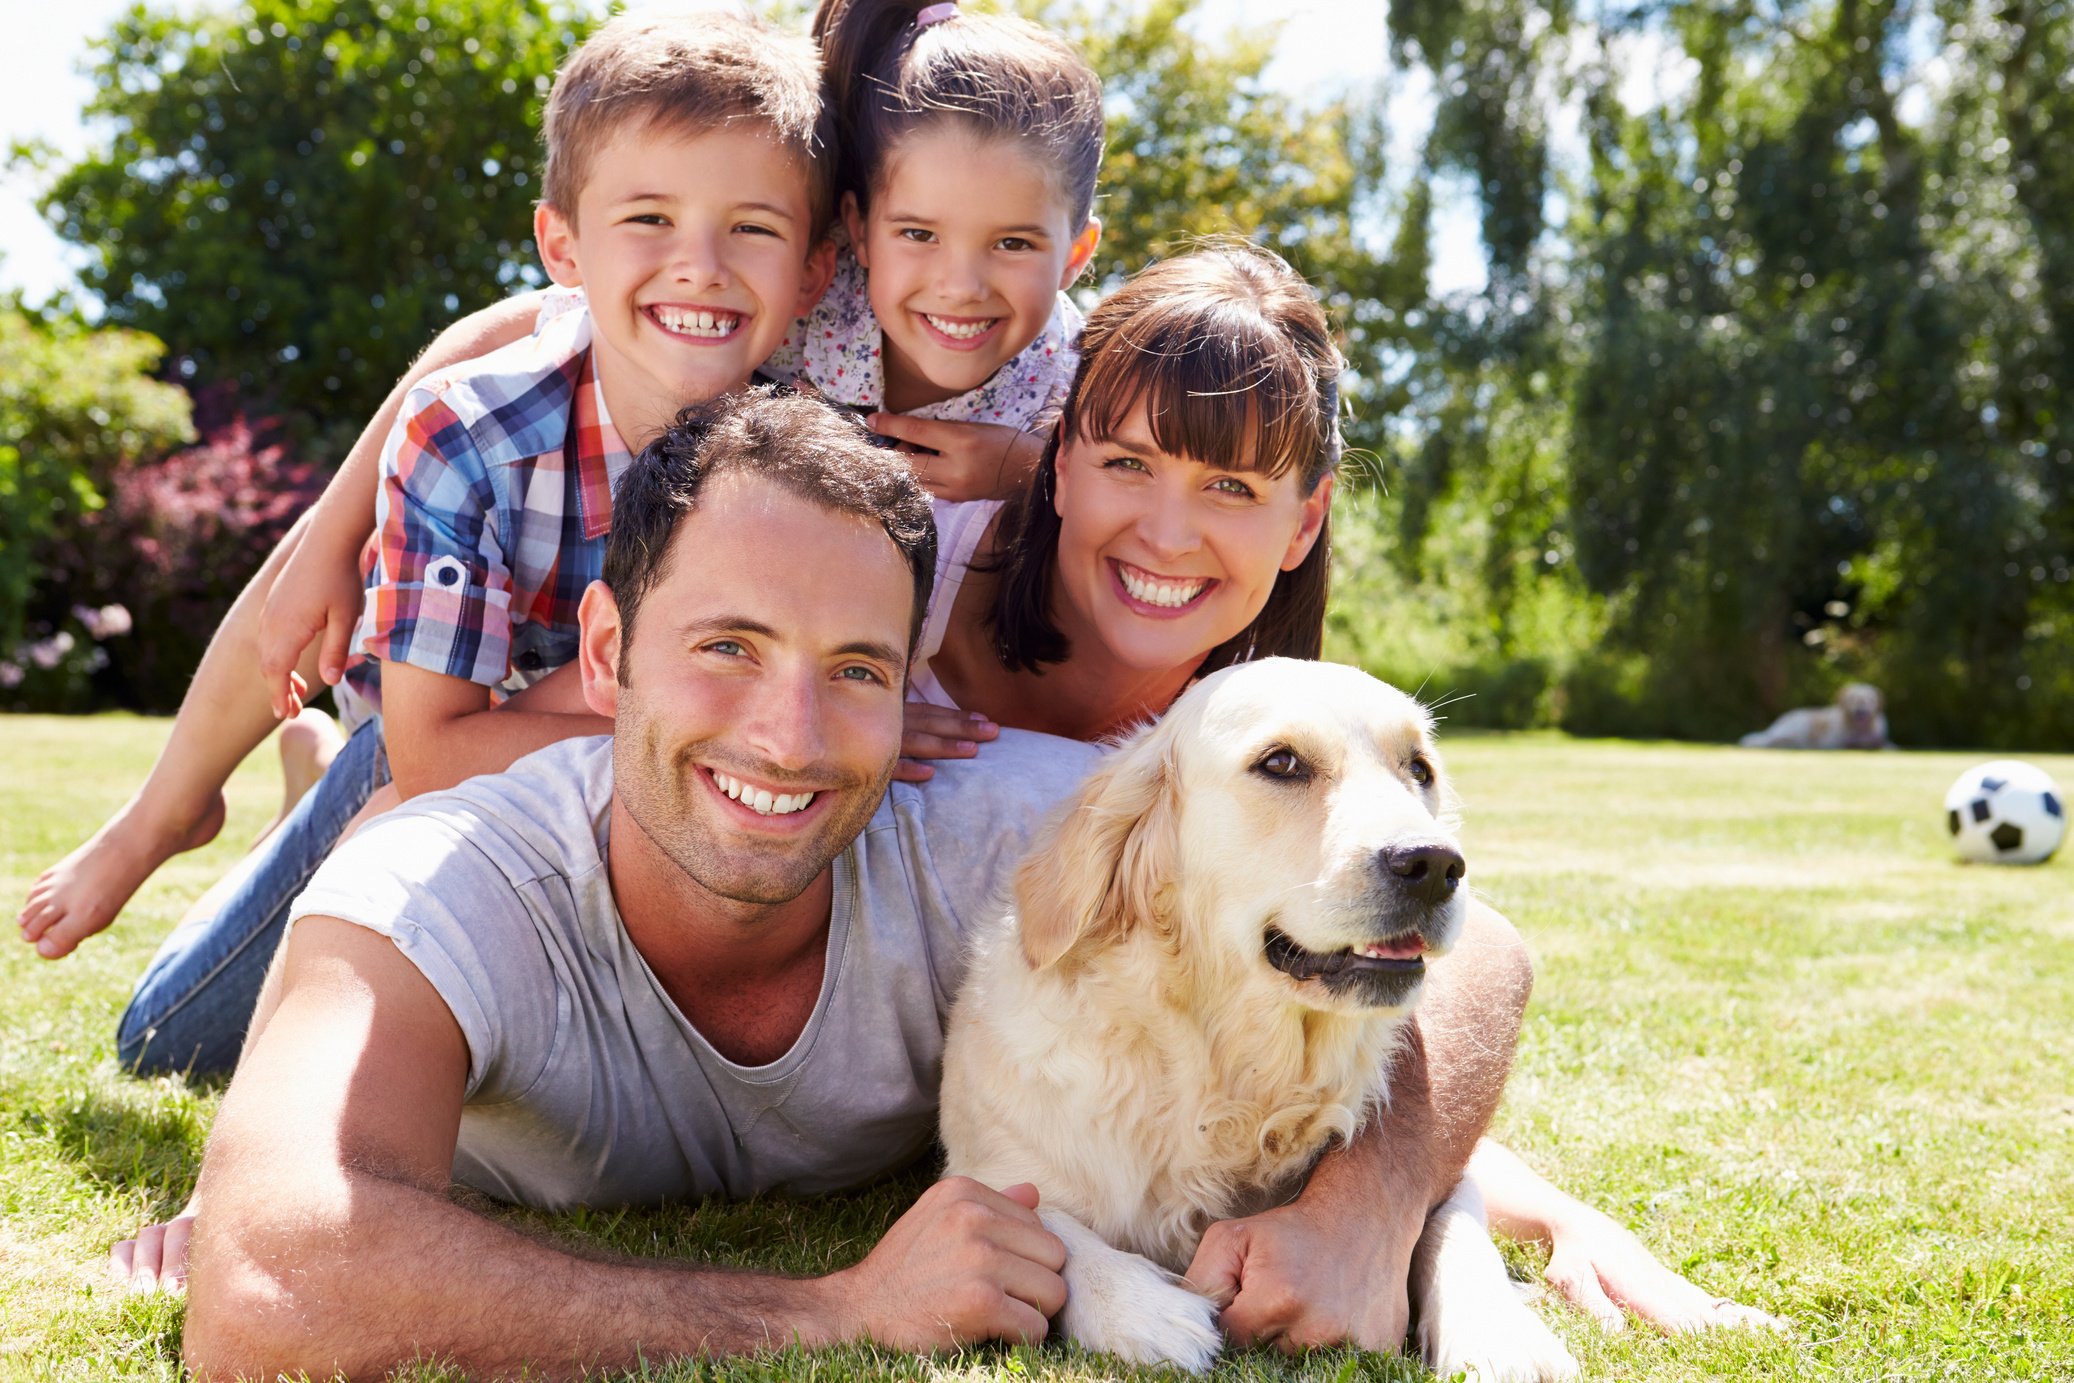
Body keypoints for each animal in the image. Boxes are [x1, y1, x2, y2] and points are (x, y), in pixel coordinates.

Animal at [937, 663, 1567, 1376]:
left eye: (1419, 768)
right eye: (1281, 763)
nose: (1434, 864)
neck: (1230, 1072)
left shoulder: (1449, 1184)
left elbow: (1453, 1222)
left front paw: (1500, 1334)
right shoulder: (991, 1158)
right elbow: (1039, 1220)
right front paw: (1141, 1310)